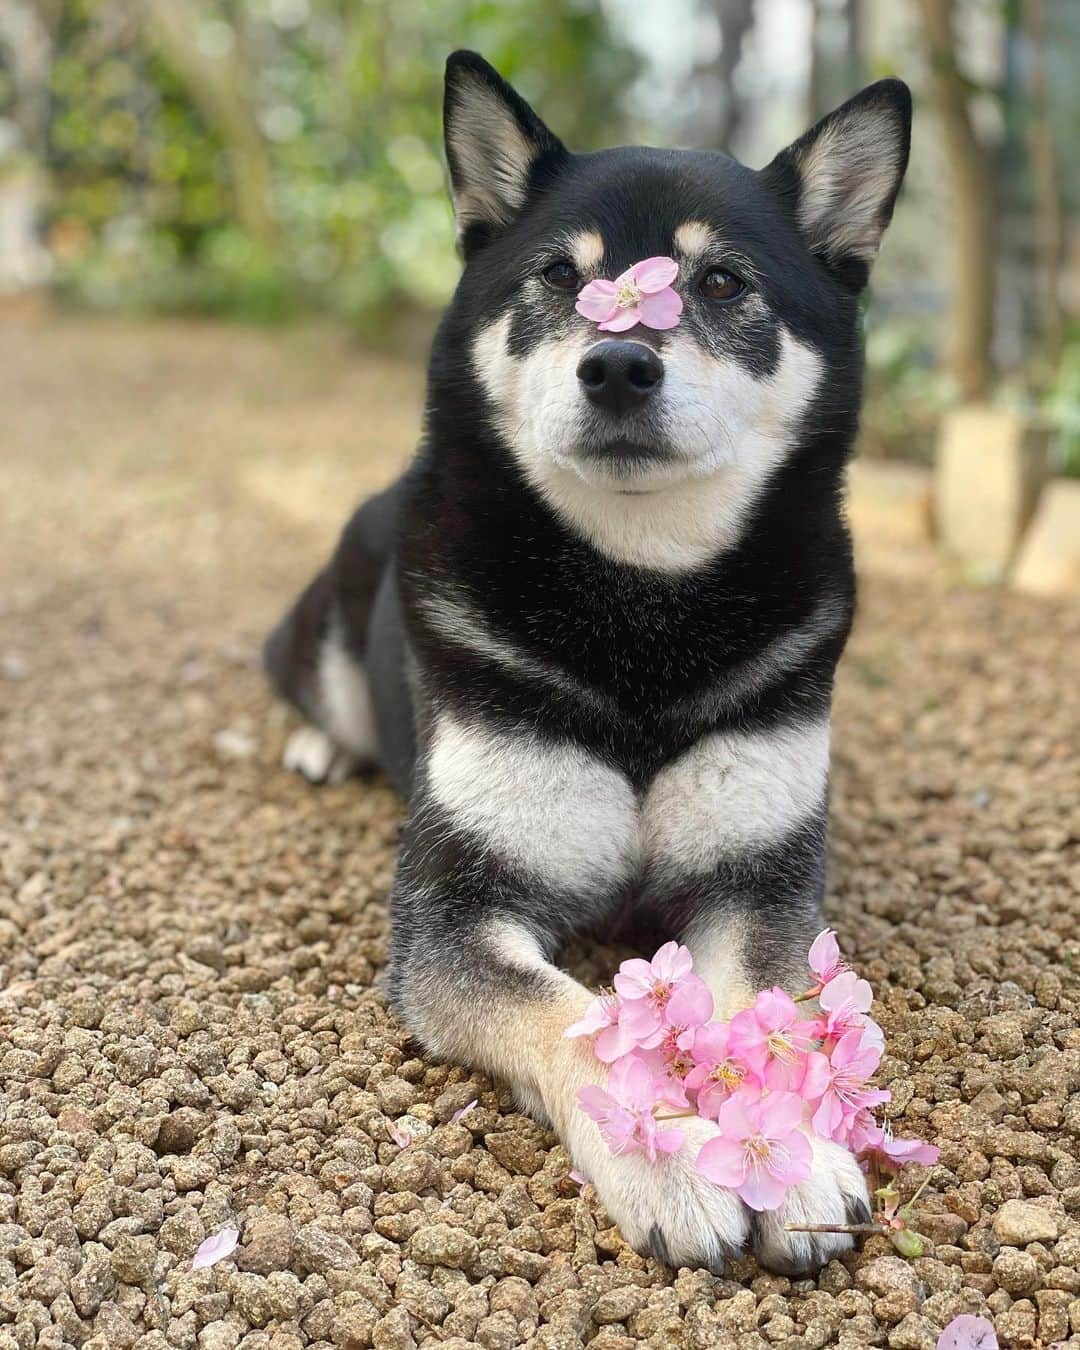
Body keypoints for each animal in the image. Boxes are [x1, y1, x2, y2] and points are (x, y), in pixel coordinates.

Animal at [263, 52, 912, 1274]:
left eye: (721, 283)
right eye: (562, 277)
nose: (618, 360)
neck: (640, 604)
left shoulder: (757, 884)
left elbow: (773, 1020)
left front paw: (795, 1153)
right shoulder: (457, 913)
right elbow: (576, 1019)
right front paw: (669, 1159)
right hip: (322, 630)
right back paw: (320, 749)